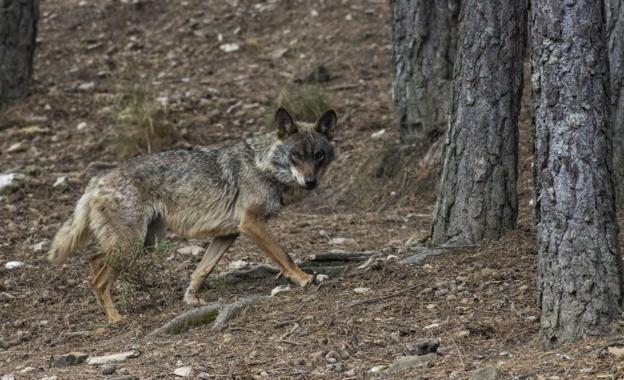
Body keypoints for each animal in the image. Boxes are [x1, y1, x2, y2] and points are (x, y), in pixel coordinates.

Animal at [47, 107, 338, 324]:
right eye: (296, 155)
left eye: (318, 155)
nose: (310, 182)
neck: (263, 166)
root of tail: (98, 179)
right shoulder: (251, 225)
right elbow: (284, 255)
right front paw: (304, 278)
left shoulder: (229, 233)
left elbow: (203, 269)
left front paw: (191, 299)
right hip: (132, 246)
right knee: (98, 278)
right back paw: (115, 318)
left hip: (145, 244)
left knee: (94, 259)